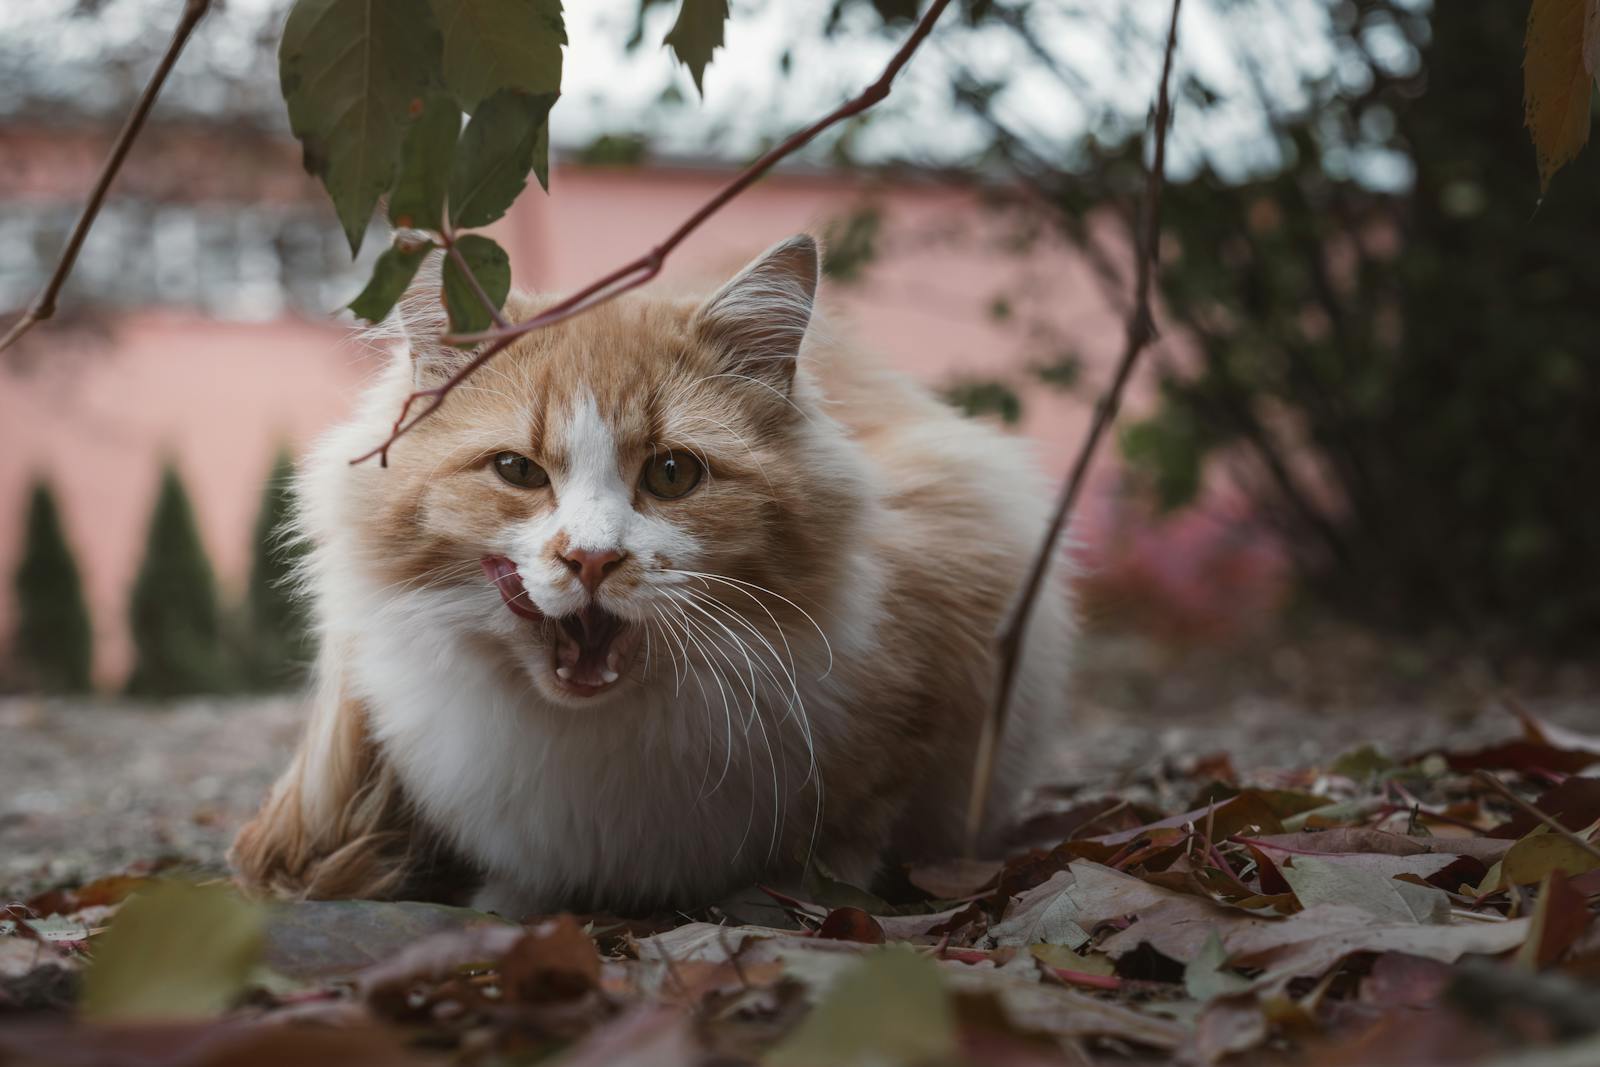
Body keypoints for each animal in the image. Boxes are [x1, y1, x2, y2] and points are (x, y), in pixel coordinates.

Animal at [228, 235, 1075, 921]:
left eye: (672, 474)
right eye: (517, 470)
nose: (592, 557)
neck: (596, 739)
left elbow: (849, 837)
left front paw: (796, 893)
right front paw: (511, 902)